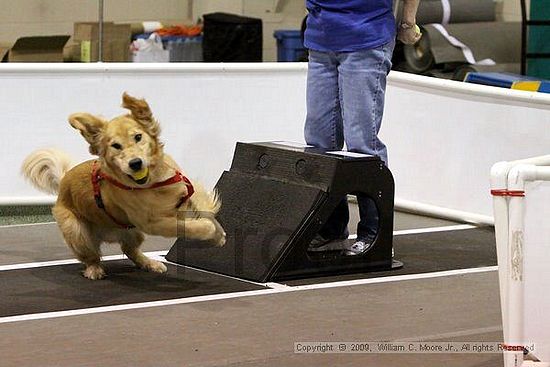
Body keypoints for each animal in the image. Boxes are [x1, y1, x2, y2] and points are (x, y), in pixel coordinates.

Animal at [21, 93, 224, 280]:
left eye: (138, 137)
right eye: (116, 146)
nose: (135, 163)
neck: (153, 184)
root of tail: (64, 179)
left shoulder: (185, 186)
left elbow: (205, 209)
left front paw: (218, 234)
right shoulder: (151, 223)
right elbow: (188, 227)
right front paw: (207, 229)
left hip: (133, 233)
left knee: (130, 250)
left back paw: (150, 263)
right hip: (77, 232)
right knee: (92, 256)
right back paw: (94, 270)